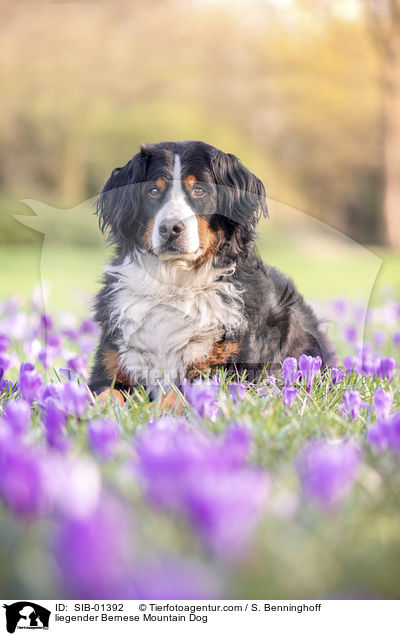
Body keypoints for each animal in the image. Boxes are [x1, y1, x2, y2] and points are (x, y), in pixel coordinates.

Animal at [90, 140, 334, 398]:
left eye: (199, 190)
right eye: (153, 191)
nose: (170, 228)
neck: (176, 285)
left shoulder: (227, 369)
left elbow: (175, 397)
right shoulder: (111, 367)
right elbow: (106, 396)